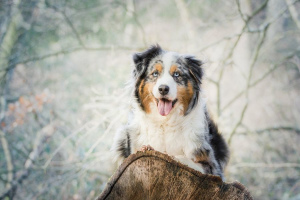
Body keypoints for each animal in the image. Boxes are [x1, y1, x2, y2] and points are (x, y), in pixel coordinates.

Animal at [112, 44, 230, 179]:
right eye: (155, 73)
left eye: (177, 74)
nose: (163, 88)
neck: (165, 122)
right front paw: (147, 148)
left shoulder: (212, 167)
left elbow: (185, 160)